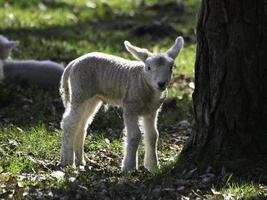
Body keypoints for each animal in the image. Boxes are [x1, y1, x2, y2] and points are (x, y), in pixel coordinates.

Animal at [60, 36, 184, 173]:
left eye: (171, 67)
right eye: (148, 68)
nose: (161, 84)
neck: (142, 81)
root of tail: (73, 63)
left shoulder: (152, 111)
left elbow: (153, 135)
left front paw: (153, 166)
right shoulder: (130, 106)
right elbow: (135, 135)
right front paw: (129, 167)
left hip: (92, 98)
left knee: (81, 124)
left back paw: (80, 160)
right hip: (80, 92)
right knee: (69, 123)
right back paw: (67, 161)